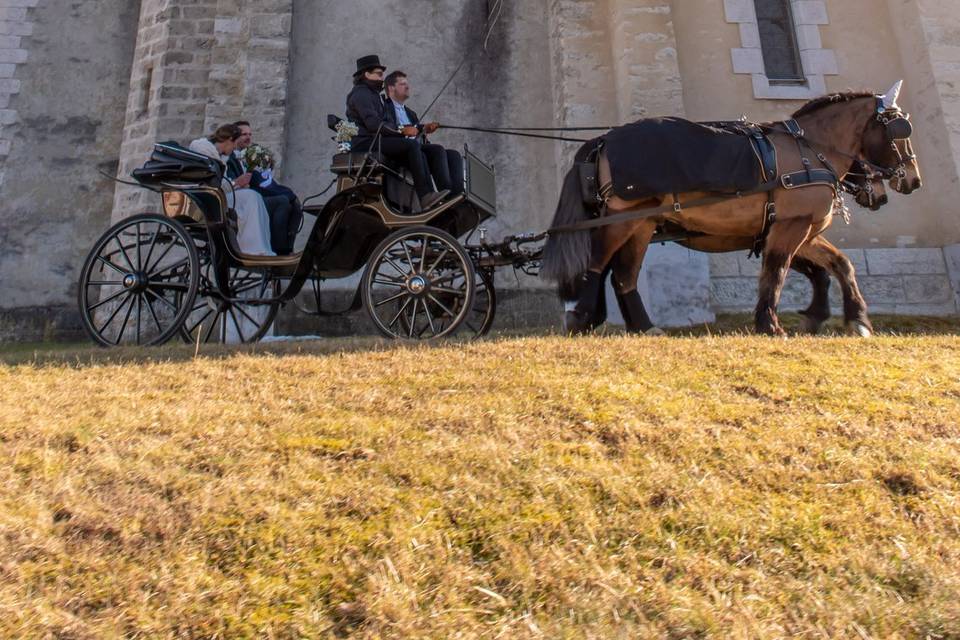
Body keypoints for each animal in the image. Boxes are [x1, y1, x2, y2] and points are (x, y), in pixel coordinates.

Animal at [544, 84, 920, 340]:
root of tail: (605, 139)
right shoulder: (791, 227)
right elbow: (777, 271)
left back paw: (644, 326)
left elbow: (838, 264)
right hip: (624, 219)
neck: (808, 151)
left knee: (623, 274)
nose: (912, 181)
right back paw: (579, 317)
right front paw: (770, 324)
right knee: (596, 263)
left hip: (641, 224)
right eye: (900, 131)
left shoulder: (797, 228)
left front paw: (853, 318)